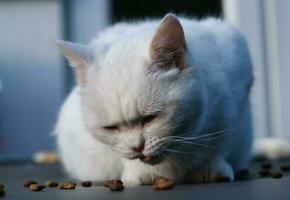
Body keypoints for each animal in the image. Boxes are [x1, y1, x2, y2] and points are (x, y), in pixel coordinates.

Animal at [54, 14, 254, 186]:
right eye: (111, 128)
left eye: (150, 118)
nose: (137, 147)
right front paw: (141, 172)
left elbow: (220, 143)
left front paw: (210, 169)